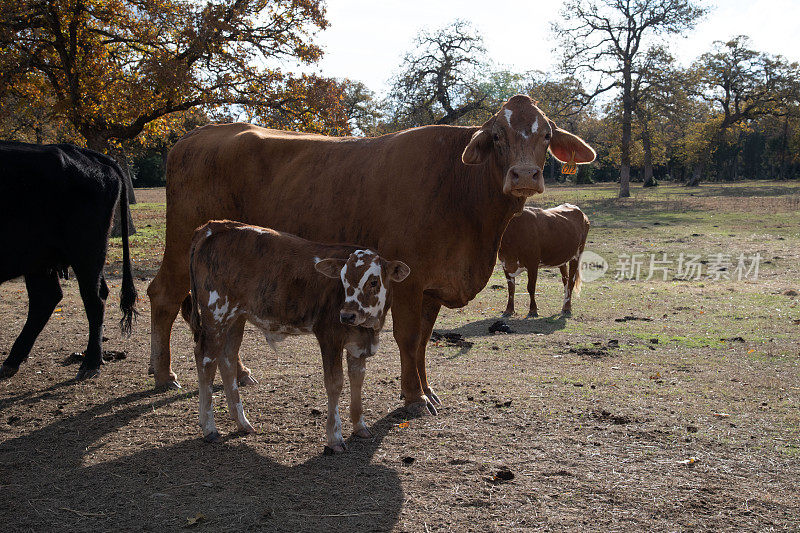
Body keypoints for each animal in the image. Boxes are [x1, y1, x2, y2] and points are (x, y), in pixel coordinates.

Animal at [0, 139, 137, 376]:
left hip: (85, 251)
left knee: (93, 299)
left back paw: (90, 363)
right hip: (40, 259)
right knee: (47, 298)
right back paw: (12, 361)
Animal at [148, 93, 592, 414]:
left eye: (546, 135)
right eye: (498, 136)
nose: (524, 175)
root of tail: (196, 135)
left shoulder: (433, 285)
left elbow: (423, 341)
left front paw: (427, 389)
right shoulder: (408, 277)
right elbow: (408, 336)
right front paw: (414, 398)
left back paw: (238, 372)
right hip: (181, 245)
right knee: (163, 296)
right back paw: (163, 373)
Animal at [184, 220, 410, 454]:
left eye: (373, 281)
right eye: (343, 279)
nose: (347, 315)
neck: (369, 328)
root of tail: (216, 226)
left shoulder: (359, 344)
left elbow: (357, 379)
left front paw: (360, 426)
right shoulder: (329, 336)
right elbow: (335, 382)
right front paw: (334, 437)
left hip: (235, 317)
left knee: (227, 359)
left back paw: (242, 422)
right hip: (215, 314)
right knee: (206, 360)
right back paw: (209, 427)